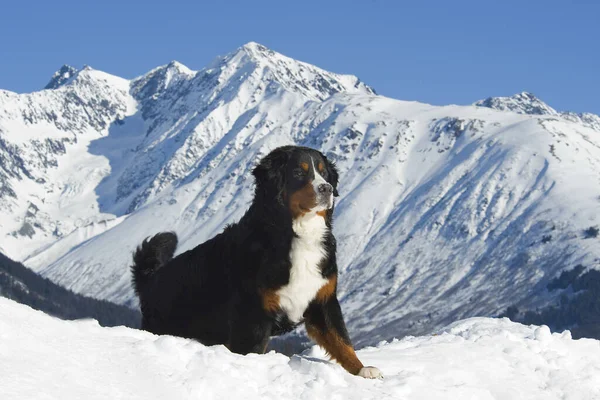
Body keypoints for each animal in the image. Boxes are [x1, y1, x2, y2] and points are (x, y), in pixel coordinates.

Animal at [132, 145, 384, 378]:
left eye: (324, 173)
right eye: (298, 172)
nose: (326, 188)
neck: (295, 234)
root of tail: (152, 279)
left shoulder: (323, 300)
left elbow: (341, 340)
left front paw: (363, 369)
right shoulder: (252, 314)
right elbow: (251, 351)